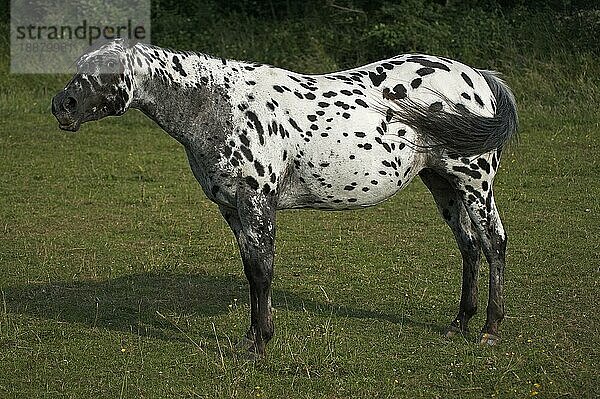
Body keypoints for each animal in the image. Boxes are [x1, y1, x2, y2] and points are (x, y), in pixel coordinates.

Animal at [54, 39, 516, 358]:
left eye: (107, 70)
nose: (63, 105)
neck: (217, 106)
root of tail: (477, 76)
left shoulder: (257, 203)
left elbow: (262, 271)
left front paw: (261, 343)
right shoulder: (233, 209)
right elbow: (250, 272)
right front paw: (251, 337)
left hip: (474, 182)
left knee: (493, 242)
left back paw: (490, 330)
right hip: (442, 183)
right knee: (469, 246)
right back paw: (459, 323)